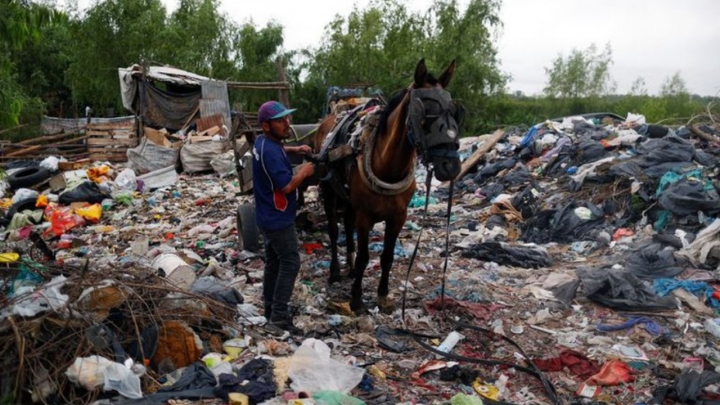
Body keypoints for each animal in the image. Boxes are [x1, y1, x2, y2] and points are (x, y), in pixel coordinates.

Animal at [318, 58, 464, 310]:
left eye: (455, 112)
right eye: (425, 113)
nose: (451, 167)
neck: (387, 167)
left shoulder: (398, 217)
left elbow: (387, 256)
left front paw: (382, 294)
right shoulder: (365, 217)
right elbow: (366, 257)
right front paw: (356, 297)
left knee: (347, 225)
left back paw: (350, 267)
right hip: (330, 194)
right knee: (335, 232)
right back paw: (336, 271)